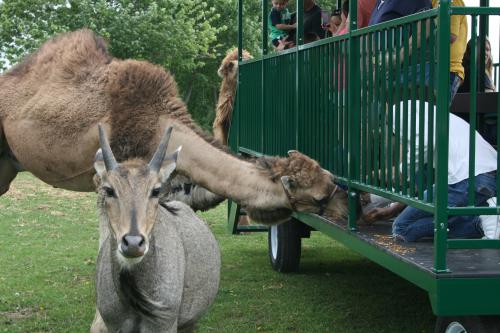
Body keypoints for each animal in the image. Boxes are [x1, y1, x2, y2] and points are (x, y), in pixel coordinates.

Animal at [92, 125, 221, 332]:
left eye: (155, 190)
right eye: (109, 189)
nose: (133, 243)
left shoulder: (164, 325)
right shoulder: (114, 325)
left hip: (189, 322)